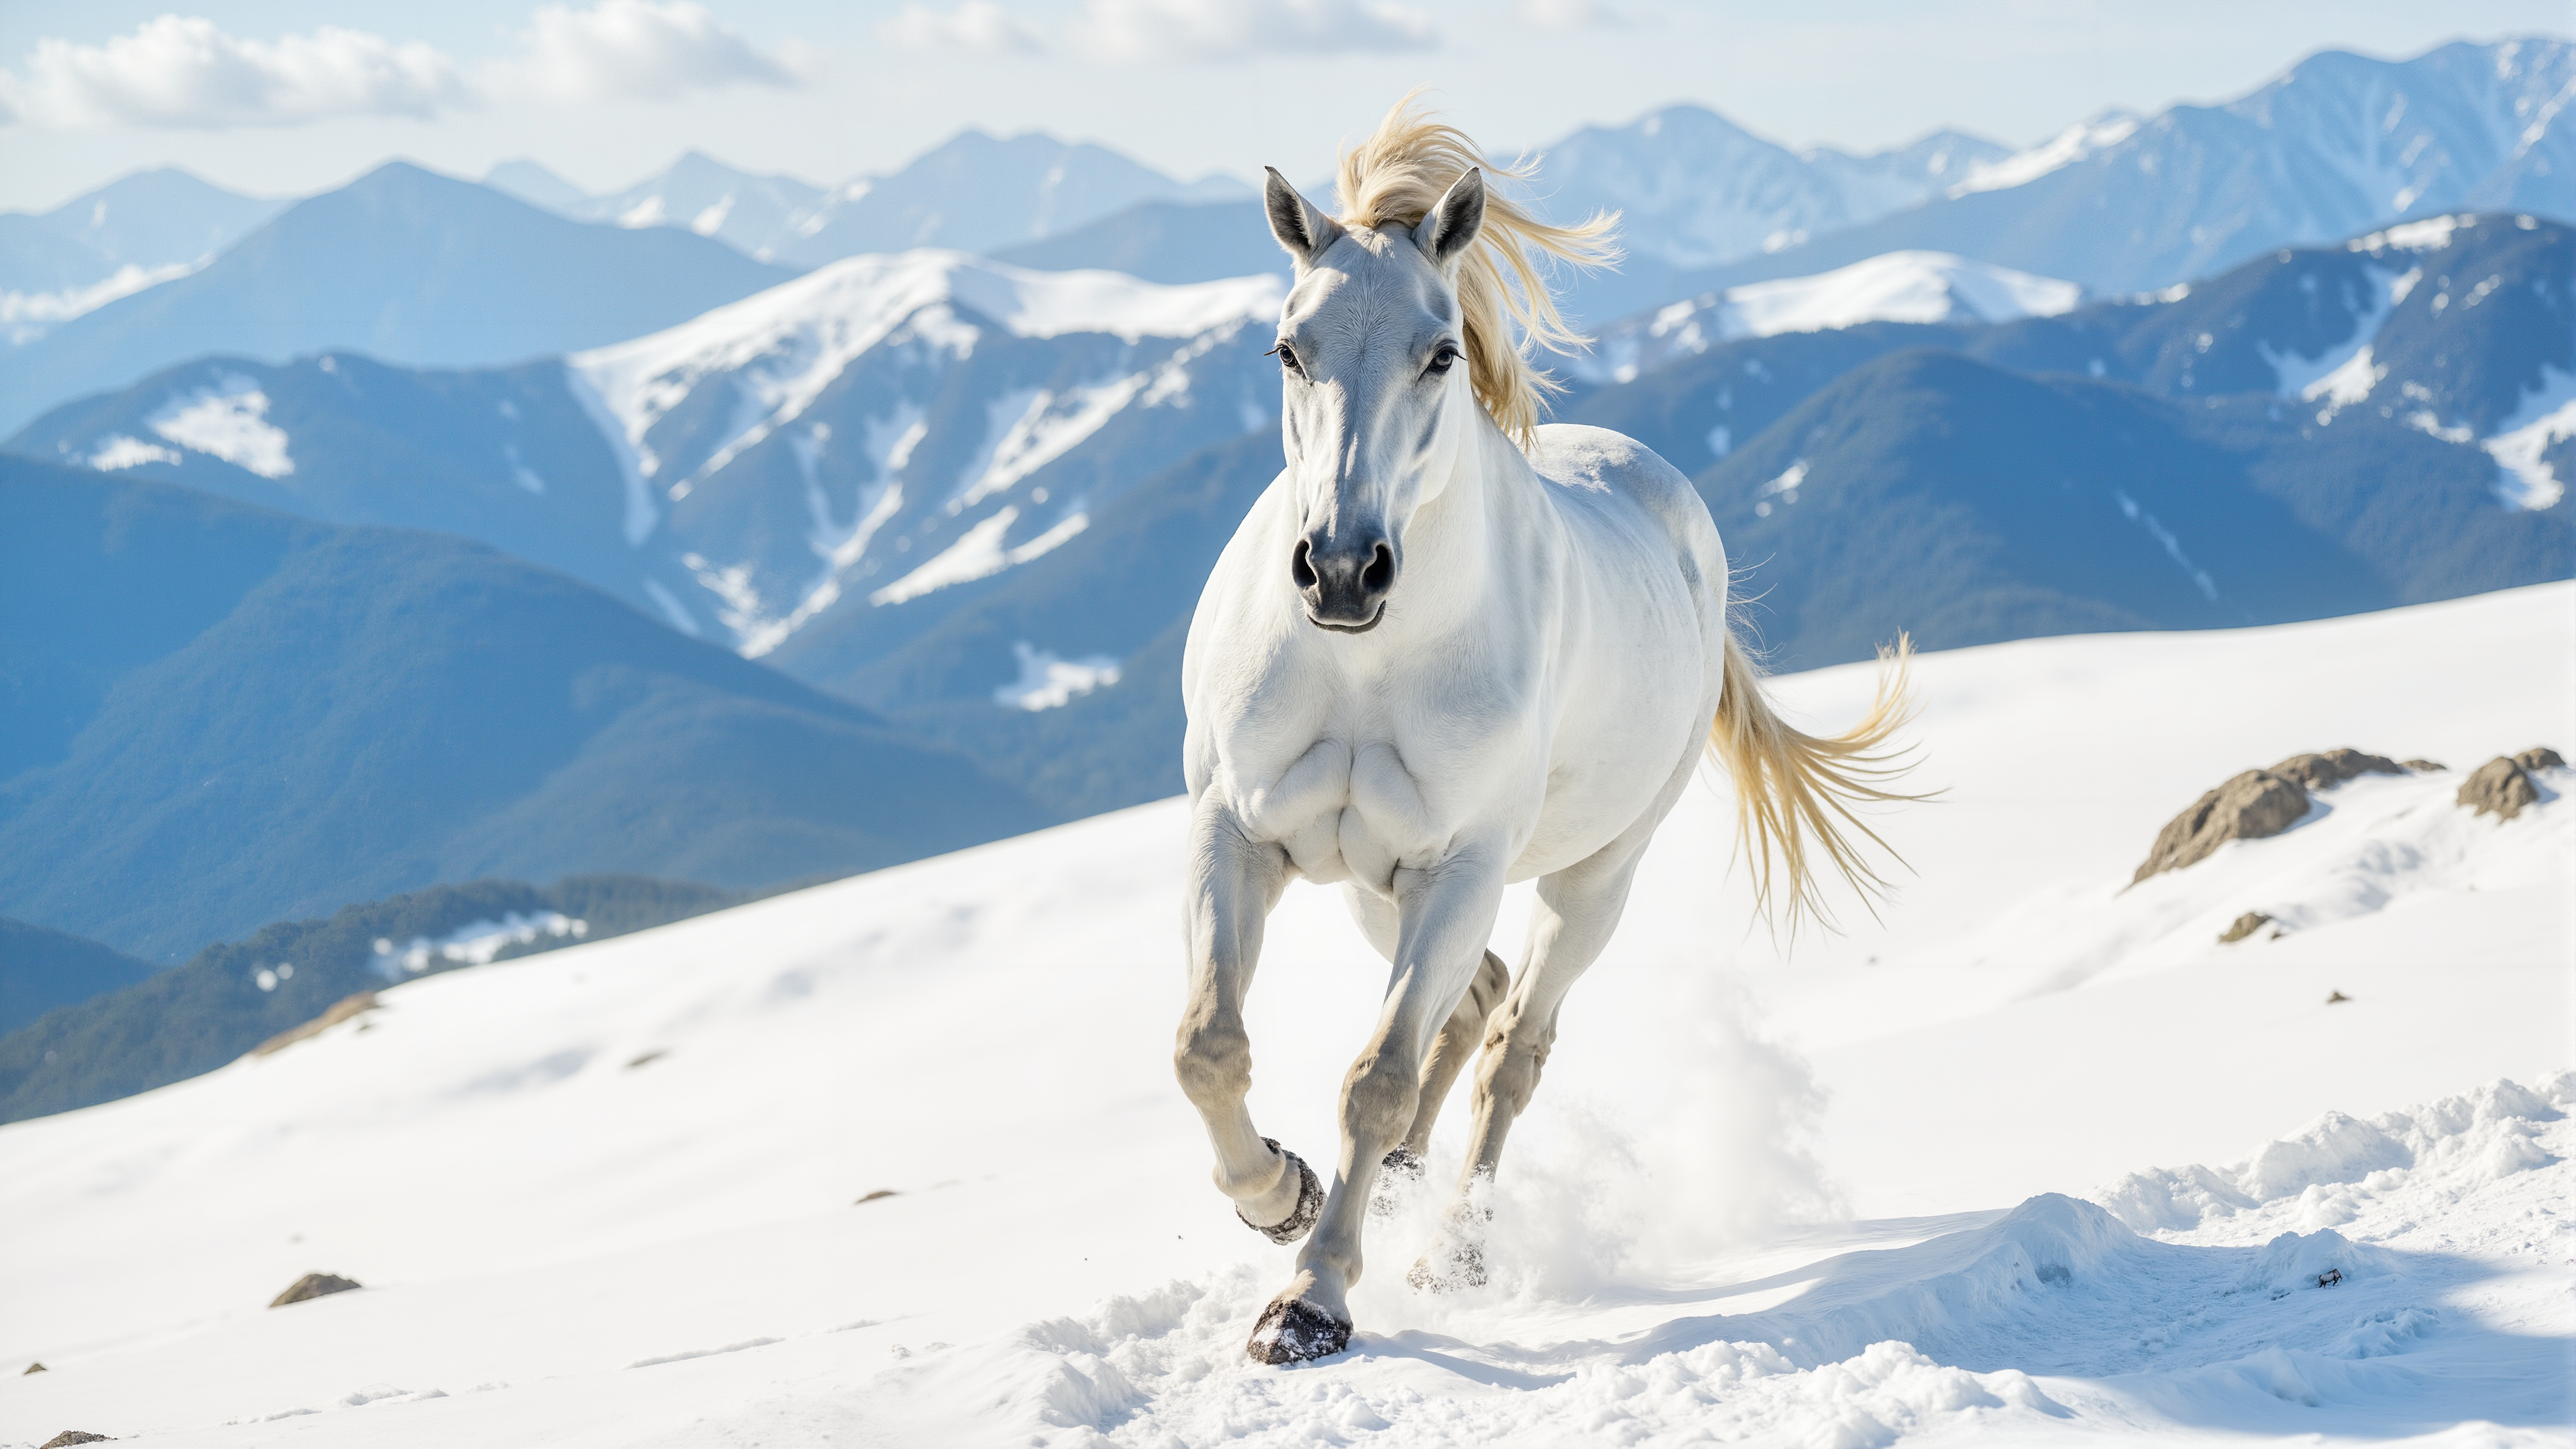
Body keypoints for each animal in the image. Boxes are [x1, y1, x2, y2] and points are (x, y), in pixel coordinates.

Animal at [1175, 98, 1920, 1366]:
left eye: (1439, 353)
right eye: (1289, 348)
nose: (1342, 569)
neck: (1363, 663)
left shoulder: (1461, 865)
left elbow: (1376, 1075)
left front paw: (1312, 1299)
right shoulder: (1241, 834)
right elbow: (1209, 1046)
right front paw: (1279, 1194)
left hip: (1586, 878)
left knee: (1514, 1043)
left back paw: (1451, 1250)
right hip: (1373, 884)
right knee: (1472, 1000)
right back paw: (1394, 1184)